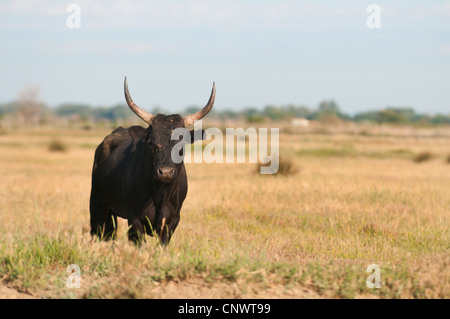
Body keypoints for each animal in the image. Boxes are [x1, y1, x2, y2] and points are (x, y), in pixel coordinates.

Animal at [89, 78, 215, 248]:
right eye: (152, 143)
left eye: (181, 145)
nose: (165, 172)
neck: (160, 194)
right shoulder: (134, 219)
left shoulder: (172, 220)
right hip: (97, 203)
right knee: (96, 232)